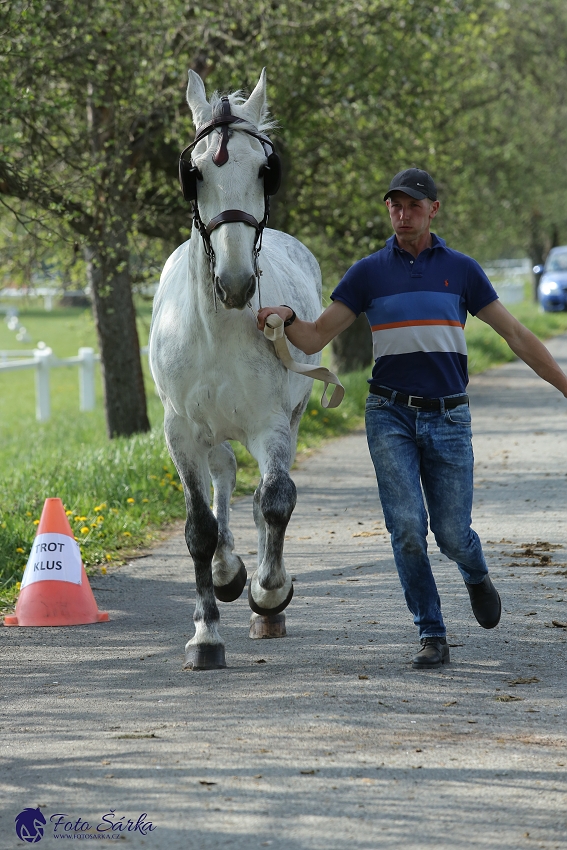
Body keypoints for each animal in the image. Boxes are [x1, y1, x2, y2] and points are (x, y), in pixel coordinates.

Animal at [149, 69, 322, 664]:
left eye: (265, 170)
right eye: (194, 172)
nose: (237, 281)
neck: (218, 328)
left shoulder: (271, 423)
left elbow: (274, 501)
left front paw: (269, 595)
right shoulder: (180, 430)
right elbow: (199, 527)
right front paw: (206, 633)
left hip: (290, 417)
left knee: (263, 496)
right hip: (208, 429)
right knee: (222, 473)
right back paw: (226, 571)